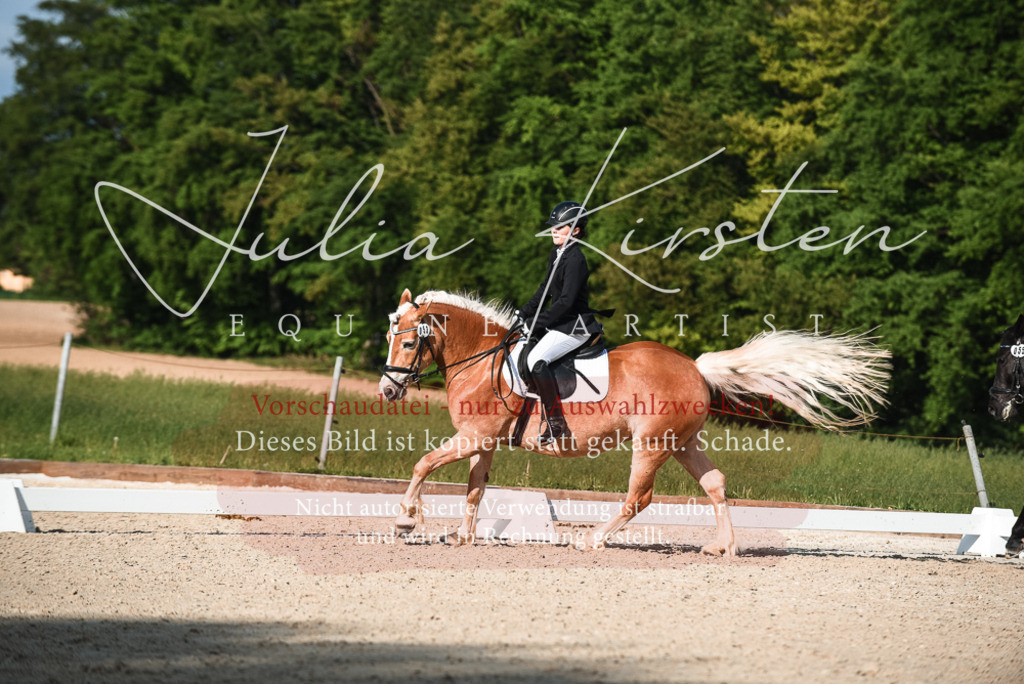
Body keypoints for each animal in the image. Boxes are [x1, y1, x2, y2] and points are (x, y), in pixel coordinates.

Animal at [378, 289, 891, 556]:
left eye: (409, 343)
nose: (387, 391)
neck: (481, 359)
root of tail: (694, 367)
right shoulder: (481, 442)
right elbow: (474, 489)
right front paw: (461, 535)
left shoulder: (471, 438)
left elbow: (423, 464)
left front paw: (405, 521)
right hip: (682, 443)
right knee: (716, 484)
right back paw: (722, 547)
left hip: (652, 444)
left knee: (638, 497)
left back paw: (592, 541)